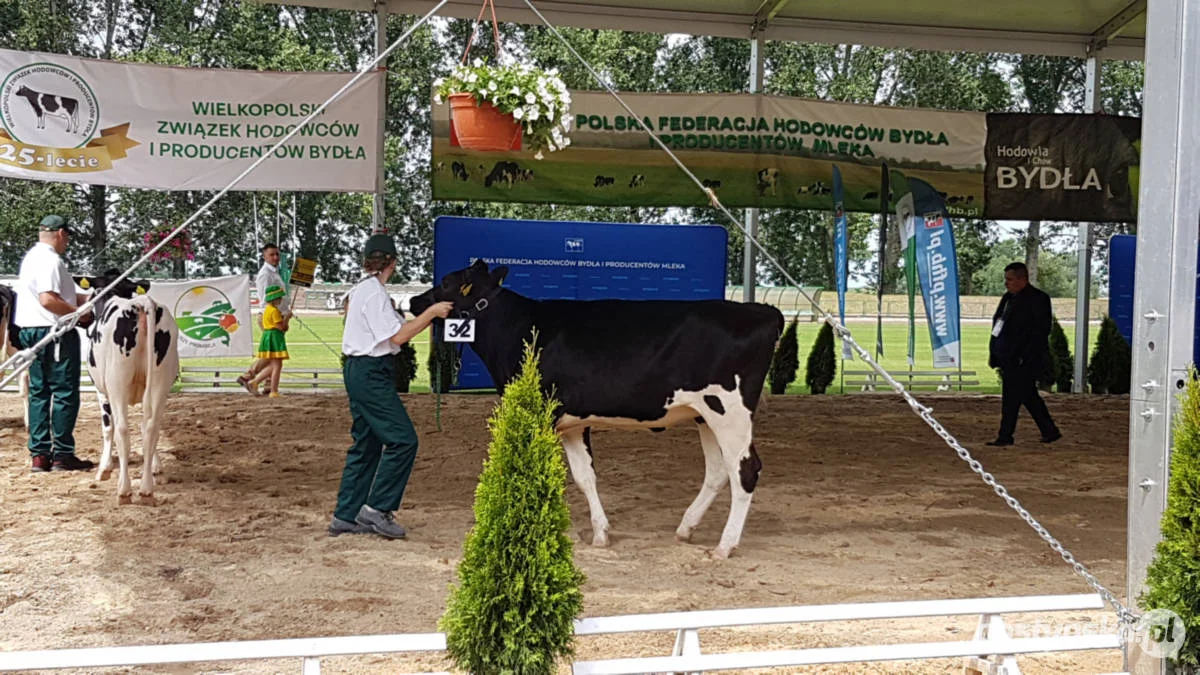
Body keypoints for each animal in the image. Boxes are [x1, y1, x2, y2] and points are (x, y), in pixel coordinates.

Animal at [76, 270, 180, 502]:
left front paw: (104, 468)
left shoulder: (101, 391)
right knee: (152, 427)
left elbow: (108, 427)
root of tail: (141, 303)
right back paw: (146, 486)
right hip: (160, 382)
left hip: (117, 383)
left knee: (123, 429)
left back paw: (124, 488)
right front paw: (156, 466)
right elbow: (145, 428)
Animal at [412, 258, 787, 557]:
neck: (520, 328)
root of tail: (763, 311)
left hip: (729, 412)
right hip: (705, 417)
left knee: (746, 470)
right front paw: (600, 533)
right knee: (718, 470)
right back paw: (686, 528)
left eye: (446, 281)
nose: (415, 301)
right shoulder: (573, 422)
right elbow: (584, 477)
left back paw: (725, 546)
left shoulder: (538, 412)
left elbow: (531, 470)